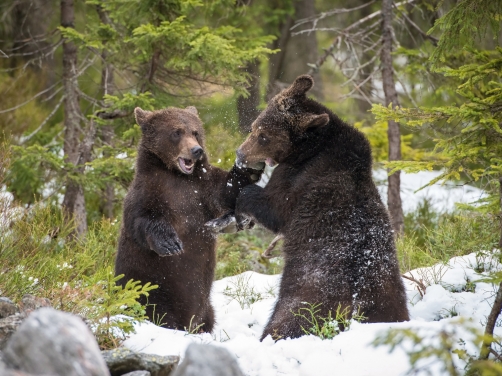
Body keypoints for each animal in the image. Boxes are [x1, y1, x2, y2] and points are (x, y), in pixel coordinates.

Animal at [115, 106, 260, 332]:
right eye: (177, 132)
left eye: (195, 132)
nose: (196, 150)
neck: (176, 175)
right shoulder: (149, 192)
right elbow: (143, 220)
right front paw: (170, 243)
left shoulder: (202, 188)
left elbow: (225, 190)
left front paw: (247, 166)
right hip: (151, 287)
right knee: (156, 308)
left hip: (206, 305)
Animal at [208, 75, 408, 340]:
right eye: (253, 127)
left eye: (262, 135)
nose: (241, 154)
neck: (310, 150)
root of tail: (356, 306)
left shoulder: (299, 181)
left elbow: (273, 208)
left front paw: (240, 206)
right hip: (388, 296)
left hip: (306, 293)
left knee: (290, 317)